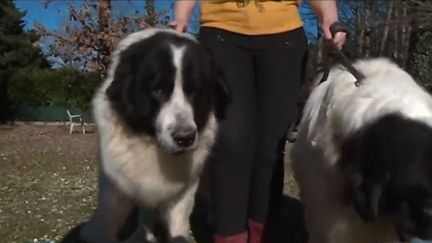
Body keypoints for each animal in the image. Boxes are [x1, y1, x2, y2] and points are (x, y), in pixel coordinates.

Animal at [75, 27, 230, 242]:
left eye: (194, 91)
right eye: (158, 90)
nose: (185, 138)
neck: (150, 142)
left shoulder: (184, 188)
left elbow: (177, 225)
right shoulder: (115, 184)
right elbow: (110, 220)